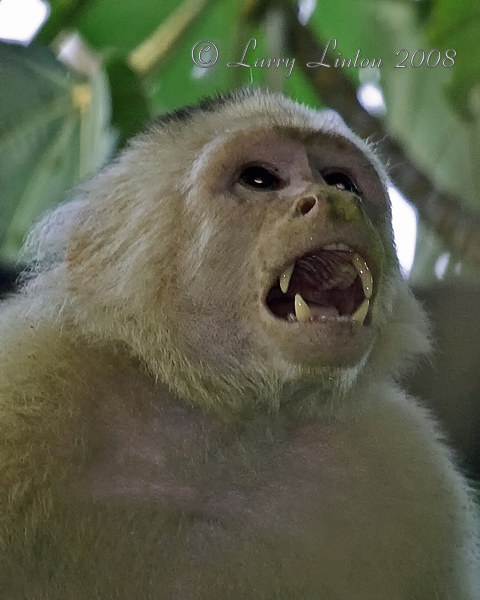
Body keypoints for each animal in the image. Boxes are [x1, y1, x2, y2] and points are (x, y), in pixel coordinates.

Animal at [0, 90, 478, 600]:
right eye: (259, 179)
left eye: (341, 181)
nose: (335, 200)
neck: (222, 426)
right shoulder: (27, 386)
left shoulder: (411, 477)